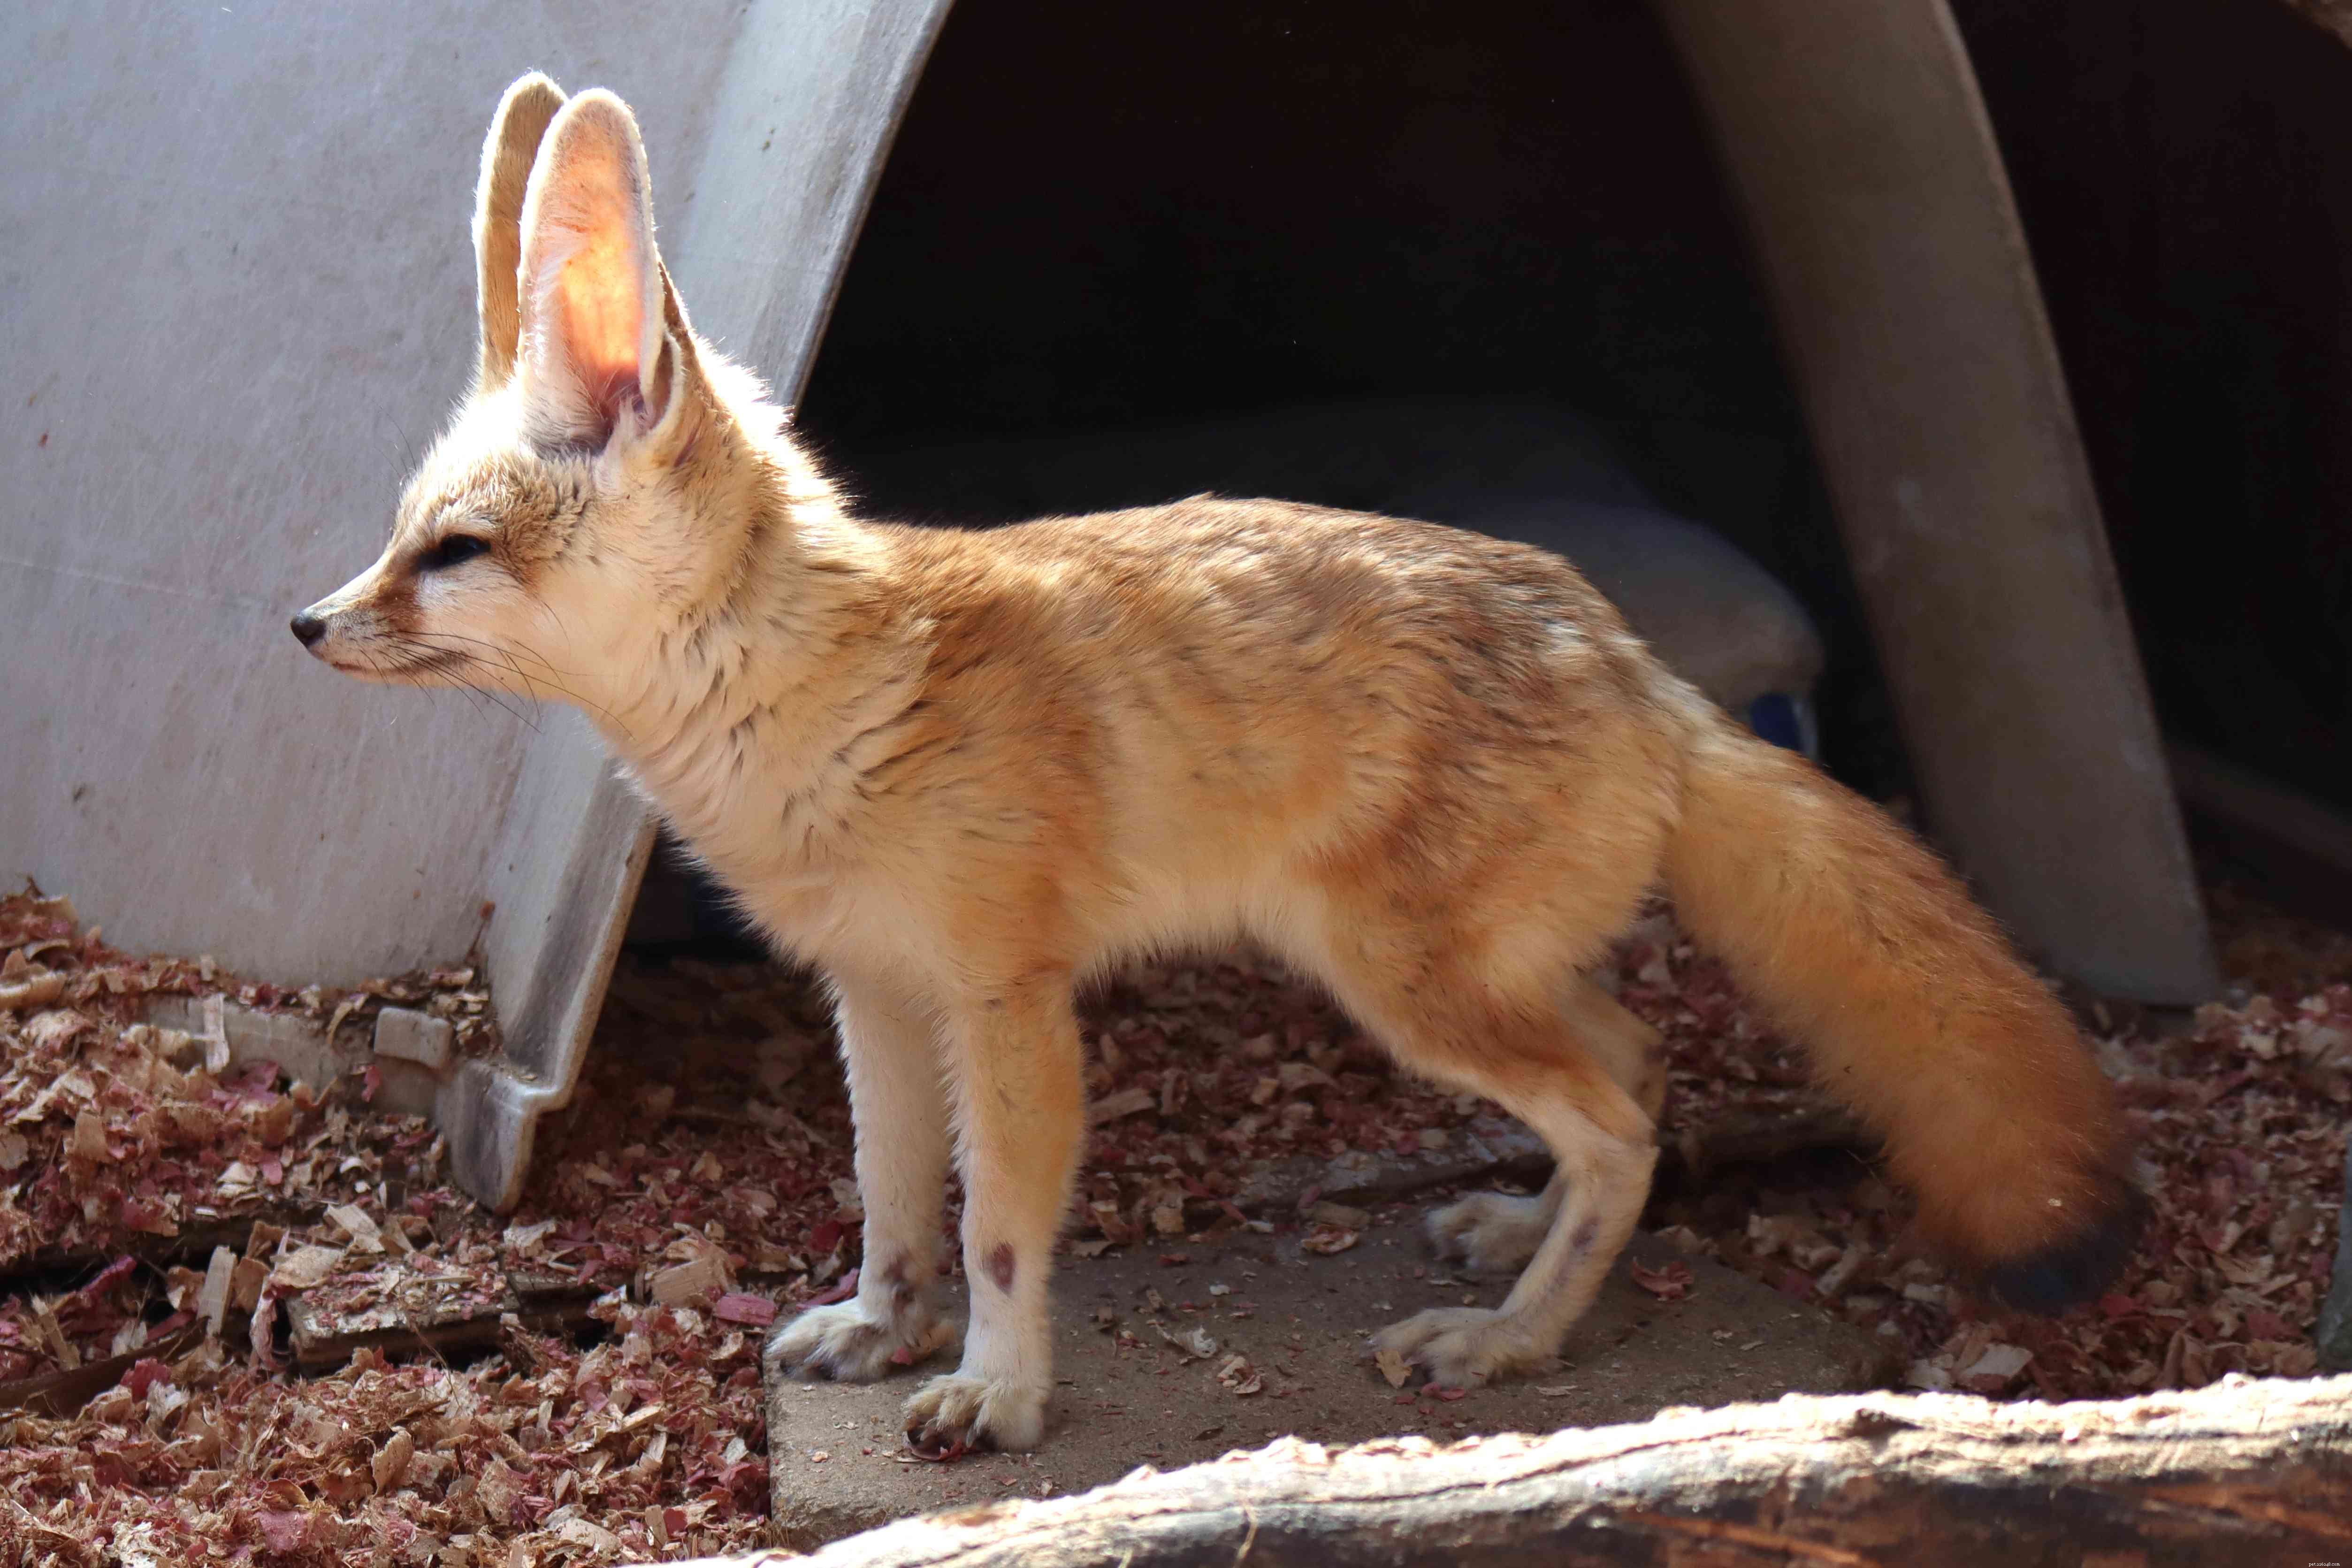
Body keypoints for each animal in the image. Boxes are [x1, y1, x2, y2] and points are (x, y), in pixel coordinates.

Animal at [294, 75, 2142, 1455]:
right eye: (399, 534)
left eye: (451, 554)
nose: (306, 625)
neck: (823, 697)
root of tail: (1637, 663)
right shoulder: (871, 995)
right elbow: (892, 1204)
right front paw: (885, 1332)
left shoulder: (1009, 1003)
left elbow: (998, 1228)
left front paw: (997, 1393)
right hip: (1465, 987)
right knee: (1639, 1067)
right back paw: (1512, 1239)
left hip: (1406, 994)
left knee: (1622, 1117)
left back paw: (1505, 1337)